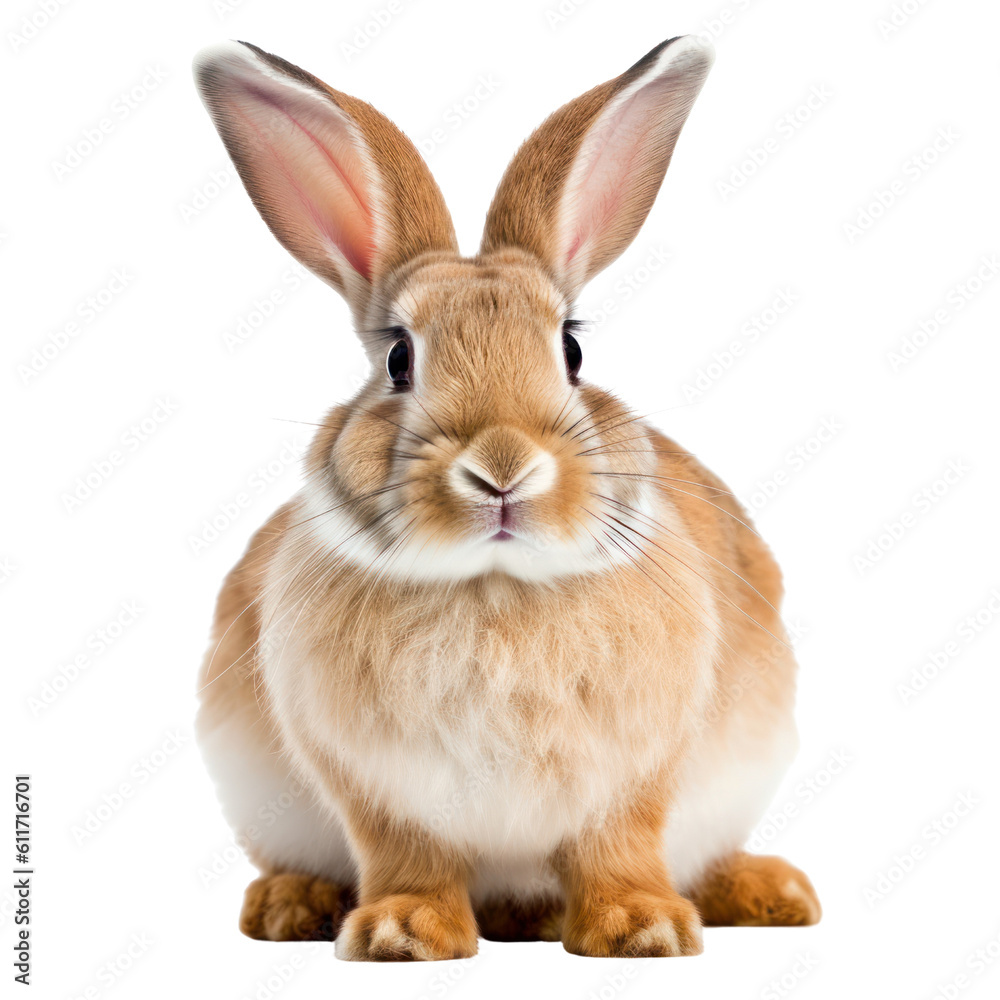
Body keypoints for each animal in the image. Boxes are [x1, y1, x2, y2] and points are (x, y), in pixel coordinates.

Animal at [193, 35, 821, 961]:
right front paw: (402, 935)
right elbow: (408, 857)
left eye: (571, 351)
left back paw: (768, 892)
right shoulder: (378, 792)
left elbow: (617, 848)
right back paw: (291, 904)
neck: (493, 586)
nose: (502, 467)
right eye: (399, 360)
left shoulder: (634, 777)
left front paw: (642, 931)